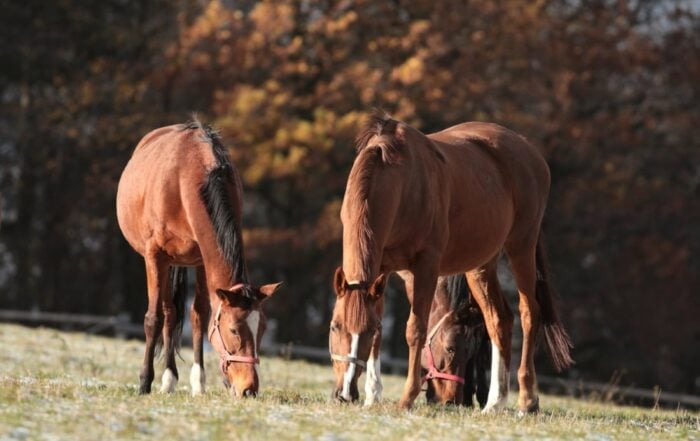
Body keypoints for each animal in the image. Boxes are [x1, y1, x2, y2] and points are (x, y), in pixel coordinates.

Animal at [116, 119, 281, 398]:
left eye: (263, 329)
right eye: (233, 329)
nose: (249, 389)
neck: (186, 178)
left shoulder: (202, 259)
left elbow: (199, 315)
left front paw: (198, 383)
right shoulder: (155, 256)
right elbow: (153, 319)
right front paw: (144, 382)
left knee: (174, 313)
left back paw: (171, 379)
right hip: (165, 262)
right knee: (166, 314)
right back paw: (165, 379)